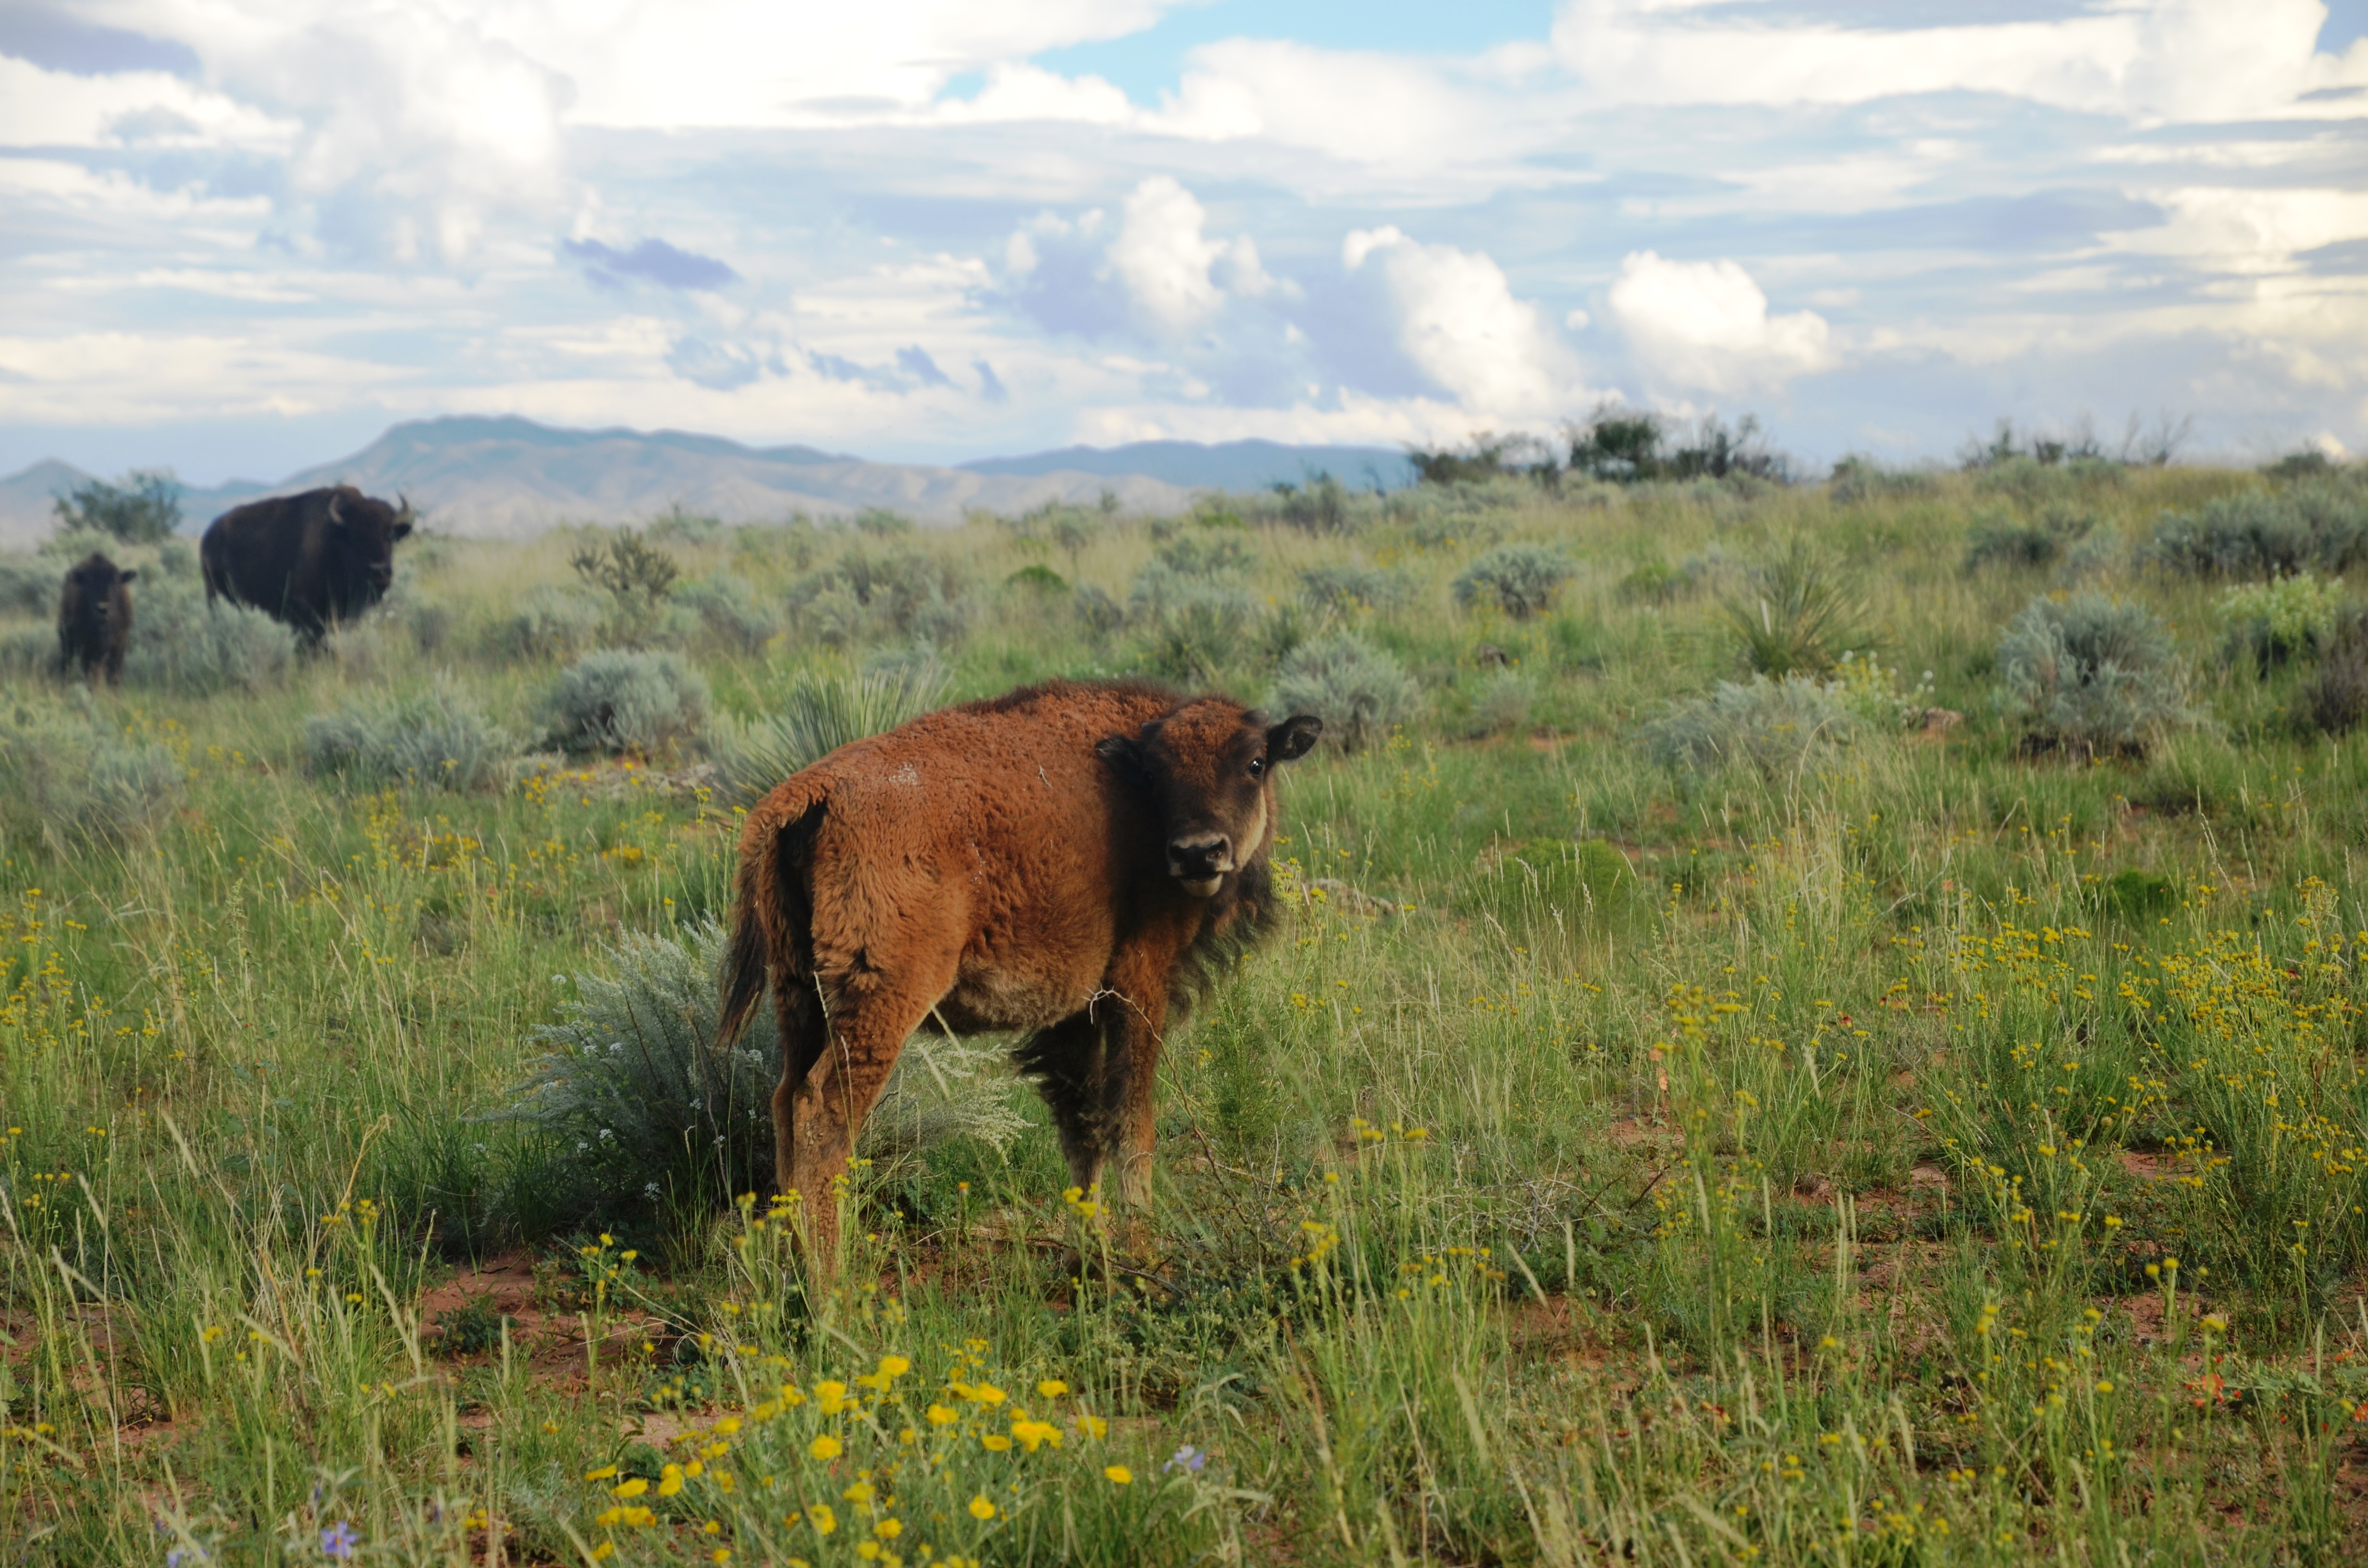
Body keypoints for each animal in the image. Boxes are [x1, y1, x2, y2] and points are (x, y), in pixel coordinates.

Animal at [57, 551, 136, 686]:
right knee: (67, 663)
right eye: (89, 582)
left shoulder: (120, 642)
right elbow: (91, 673)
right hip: (67, 640)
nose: (103, 608)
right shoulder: (88, 646)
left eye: (115, 581)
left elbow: (114, 675)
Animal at [201, 485, 414, 644]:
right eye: (354, 538)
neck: (334, 540)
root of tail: (209, 536)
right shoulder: (306, 613)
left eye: (390, 535)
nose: (379, 571)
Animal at [710, 677, 1326, 1269]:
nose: (1199, 853)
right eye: (1156, 773)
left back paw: (791, 1274)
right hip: (880, 1002)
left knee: (785, 1102)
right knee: (823, 1116)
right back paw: (832, 1290)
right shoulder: (1138, 981)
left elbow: (1083, 1129)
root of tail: (811, 793)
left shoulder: (1074, 1013)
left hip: (800, 995)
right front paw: (1140, 1251)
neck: (1132, 782)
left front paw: (1088, 1256)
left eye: (1254, 762)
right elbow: (1132, 1119)